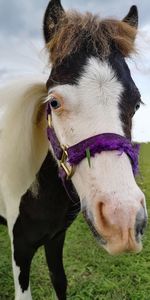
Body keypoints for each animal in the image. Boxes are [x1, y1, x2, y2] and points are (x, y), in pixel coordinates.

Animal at [0, 0, 148, 300]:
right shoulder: (20, 251)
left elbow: (60, 281)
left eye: (136, 103)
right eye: (54, 102)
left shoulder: (56, 238)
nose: (122, 221)